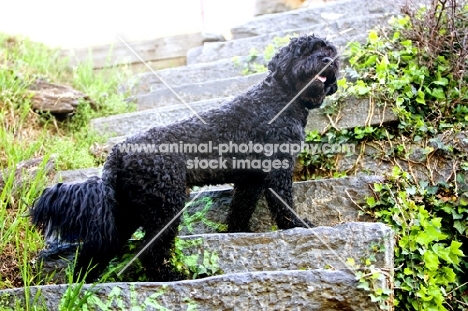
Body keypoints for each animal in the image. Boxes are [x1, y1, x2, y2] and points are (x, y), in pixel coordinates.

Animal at [32, 34, 336, 282]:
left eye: (329, 49)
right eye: (306, 51)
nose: (327, 60)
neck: (279, 98)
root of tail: (117, 154)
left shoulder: (251, 178)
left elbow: (240, 208)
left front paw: (238, 231)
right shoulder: (278, 168)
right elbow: (284, 203)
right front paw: (297, 226)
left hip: (131, 209)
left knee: (100, 247)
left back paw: (83, 280)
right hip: (166, 204)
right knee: (151, 250)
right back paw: (170, 276)